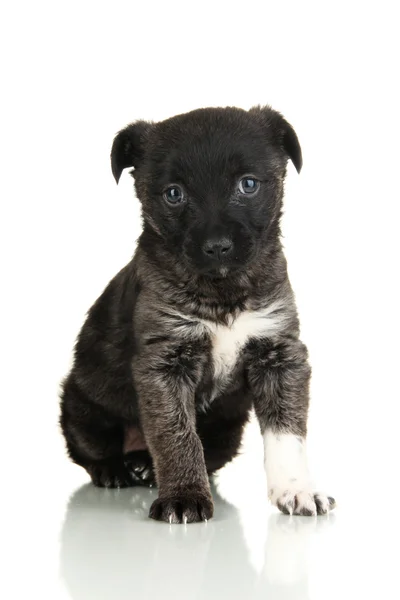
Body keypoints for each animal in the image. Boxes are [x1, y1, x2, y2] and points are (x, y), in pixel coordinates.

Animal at [59, 105, 334, 524]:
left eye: (248, 185)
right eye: (174, 194)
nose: (217, 246)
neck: (222, 292)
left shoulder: (279, 355)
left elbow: (287, 433)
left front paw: (296, 489)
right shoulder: (164, 365)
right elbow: (176, 435)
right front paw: (184, 496)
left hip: (227, 427)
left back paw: (145, 466)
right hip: (81, 405)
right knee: (89, 449)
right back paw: (117, 469)